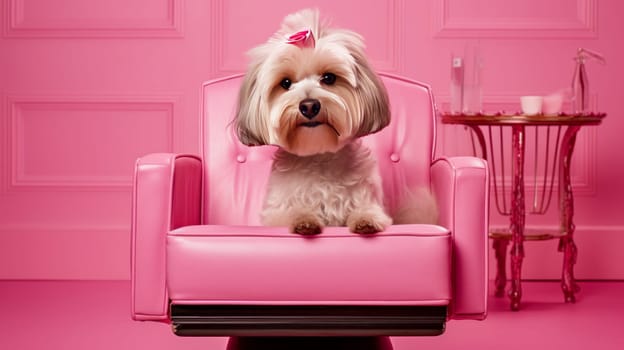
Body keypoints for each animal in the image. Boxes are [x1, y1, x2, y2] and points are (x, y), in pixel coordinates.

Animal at [234, 10, 434, 235]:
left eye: (329, 78)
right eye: (285, 83)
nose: (309, 106)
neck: (319, 155)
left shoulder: (367, 201)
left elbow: (368, 211)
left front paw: (366, 219)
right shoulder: (276, 214)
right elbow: (291, 213)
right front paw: (304, 219)